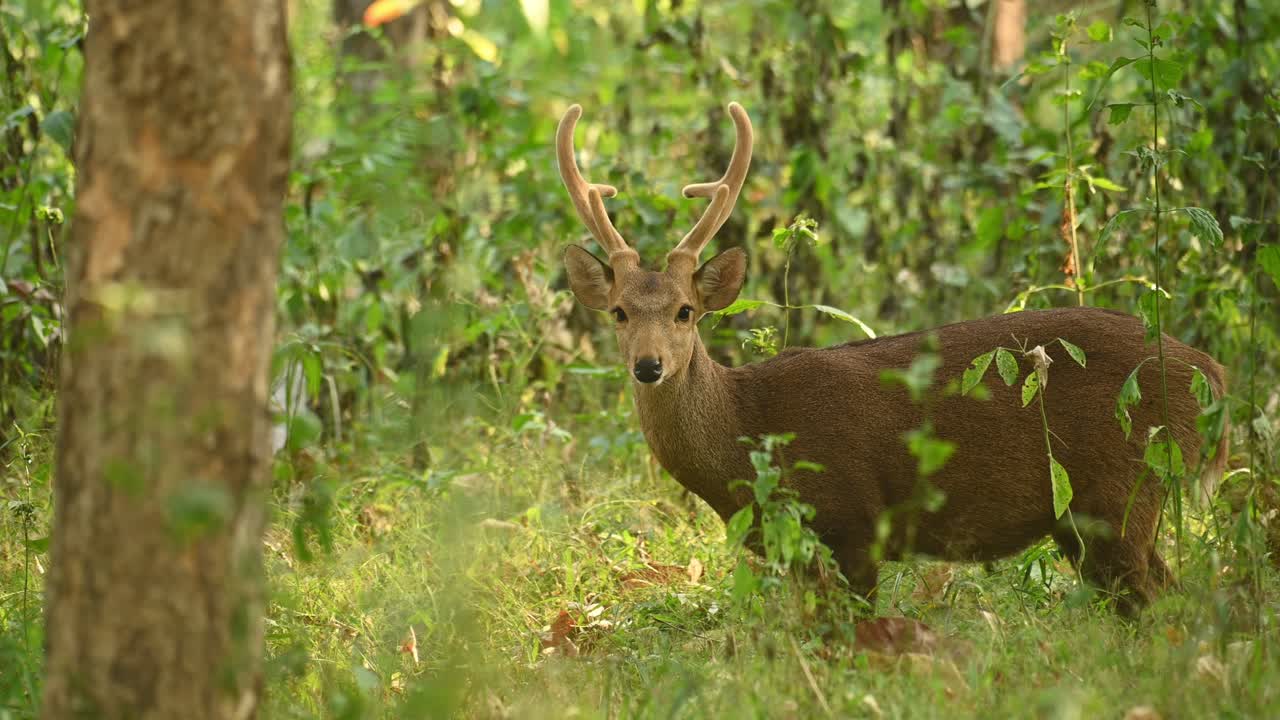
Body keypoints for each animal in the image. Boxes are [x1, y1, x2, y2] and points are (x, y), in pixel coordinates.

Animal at [556, 101, 1228, 615]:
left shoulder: (855, 523)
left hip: (1123, 489)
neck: (748, 429)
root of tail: (1211, 375)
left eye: (685, 312)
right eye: (618, 312)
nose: (649, 366)